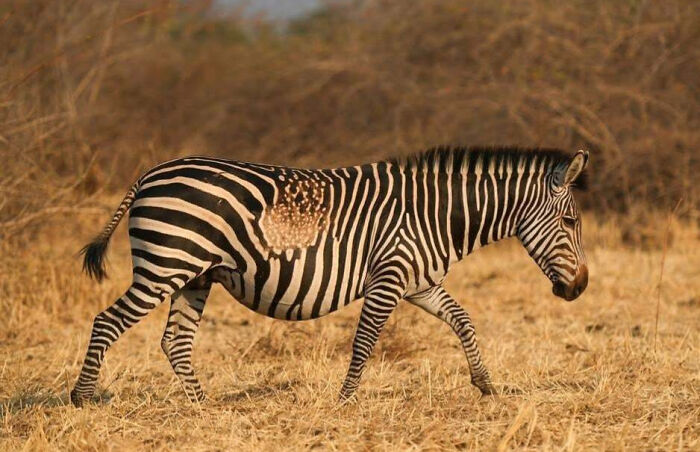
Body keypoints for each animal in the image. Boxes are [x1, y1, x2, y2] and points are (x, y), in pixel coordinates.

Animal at [70, 146, 589, 407]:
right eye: (570, 222)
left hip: (195, 275)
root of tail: (150, 174)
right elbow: (365, 341)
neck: (436, 215)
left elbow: (463, 320)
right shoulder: (389, 276)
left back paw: (204, 406)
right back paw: (81, 397)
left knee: (175, 341)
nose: (580, 287)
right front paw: (345, 401)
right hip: (166, 265)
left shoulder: (419, 282)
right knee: (107, 323)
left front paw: (485, 384)